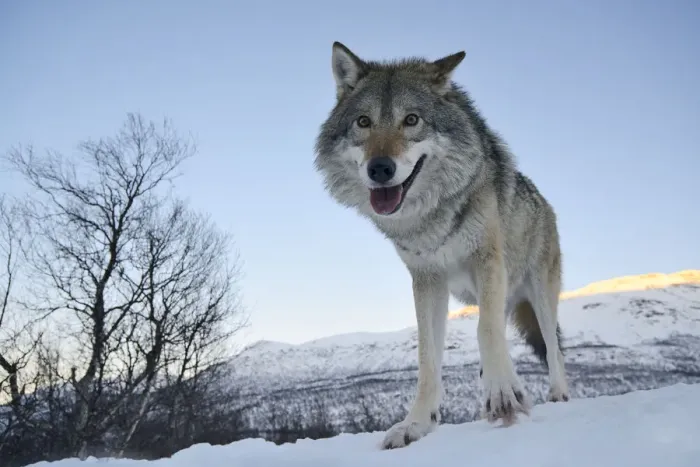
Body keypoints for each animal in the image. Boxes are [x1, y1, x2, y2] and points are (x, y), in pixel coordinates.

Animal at [314, 42, 570, 449]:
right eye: (364, 122)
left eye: (412, 120)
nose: (380, 169)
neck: (431, 219)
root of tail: (544, 202)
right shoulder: (427, 280)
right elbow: (427, 357)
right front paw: (417, 424)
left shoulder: (487, 260)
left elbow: (486, 331)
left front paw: (502, 396)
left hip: (540, 294)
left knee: (552, 347)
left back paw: (557, 394)